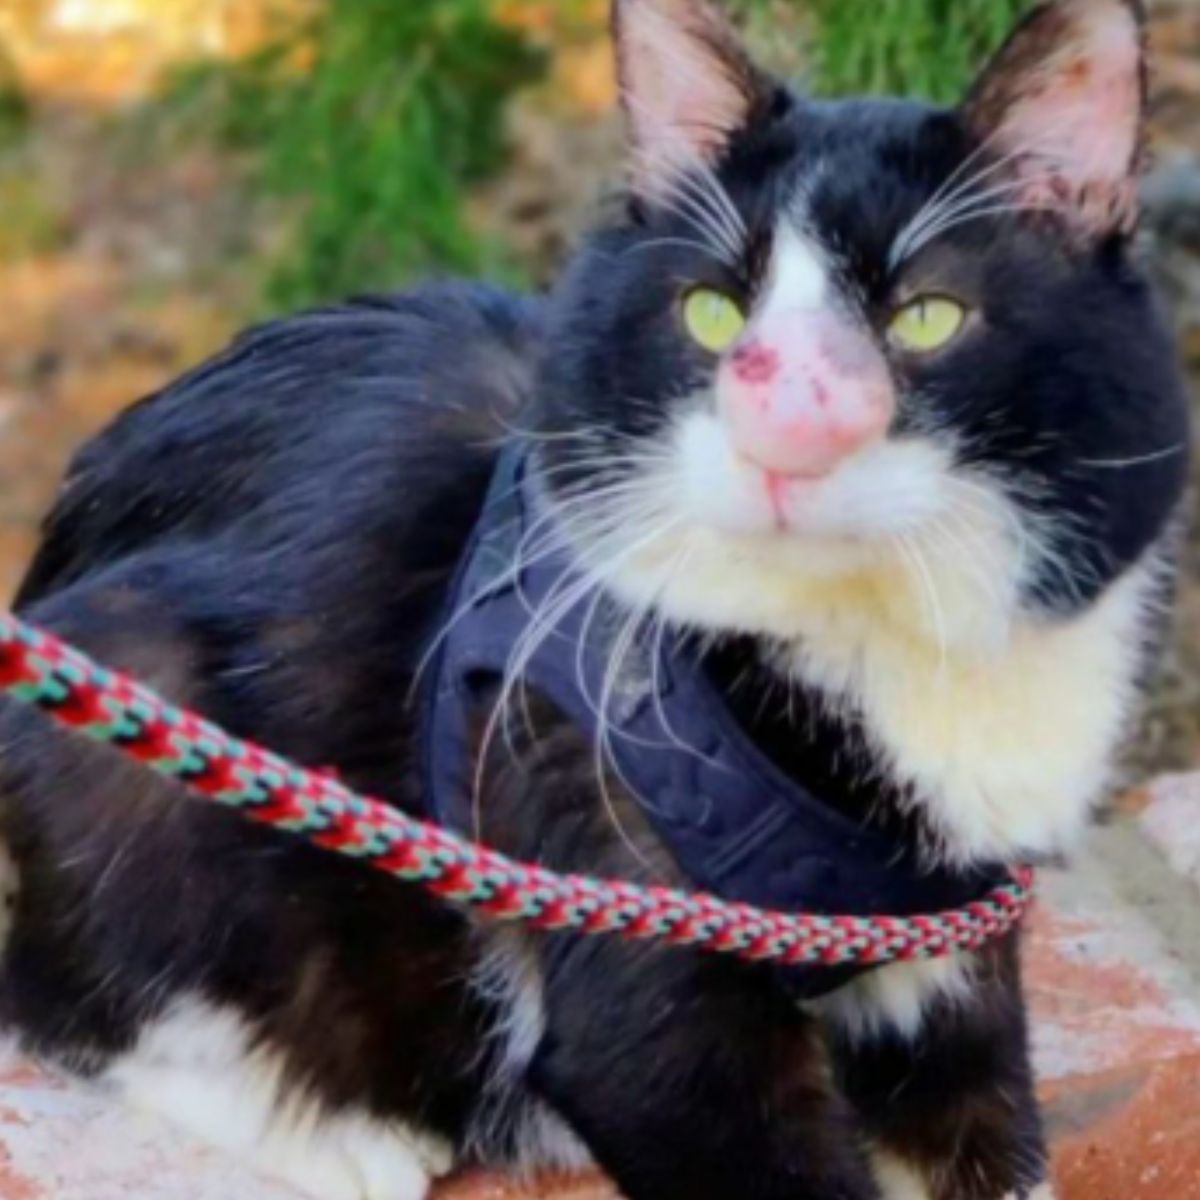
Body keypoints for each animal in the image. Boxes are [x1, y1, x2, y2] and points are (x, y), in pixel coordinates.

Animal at [0, 2, 1190, 1200]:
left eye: (928, 318)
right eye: (711, 314)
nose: (784, 428)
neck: (867, 652)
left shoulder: (954, 945)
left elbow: (980, 1110)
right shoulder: (592, 820)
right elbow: (665, 1074)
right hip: (134, 698)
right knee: (66, 989)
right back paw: (332, 1131)